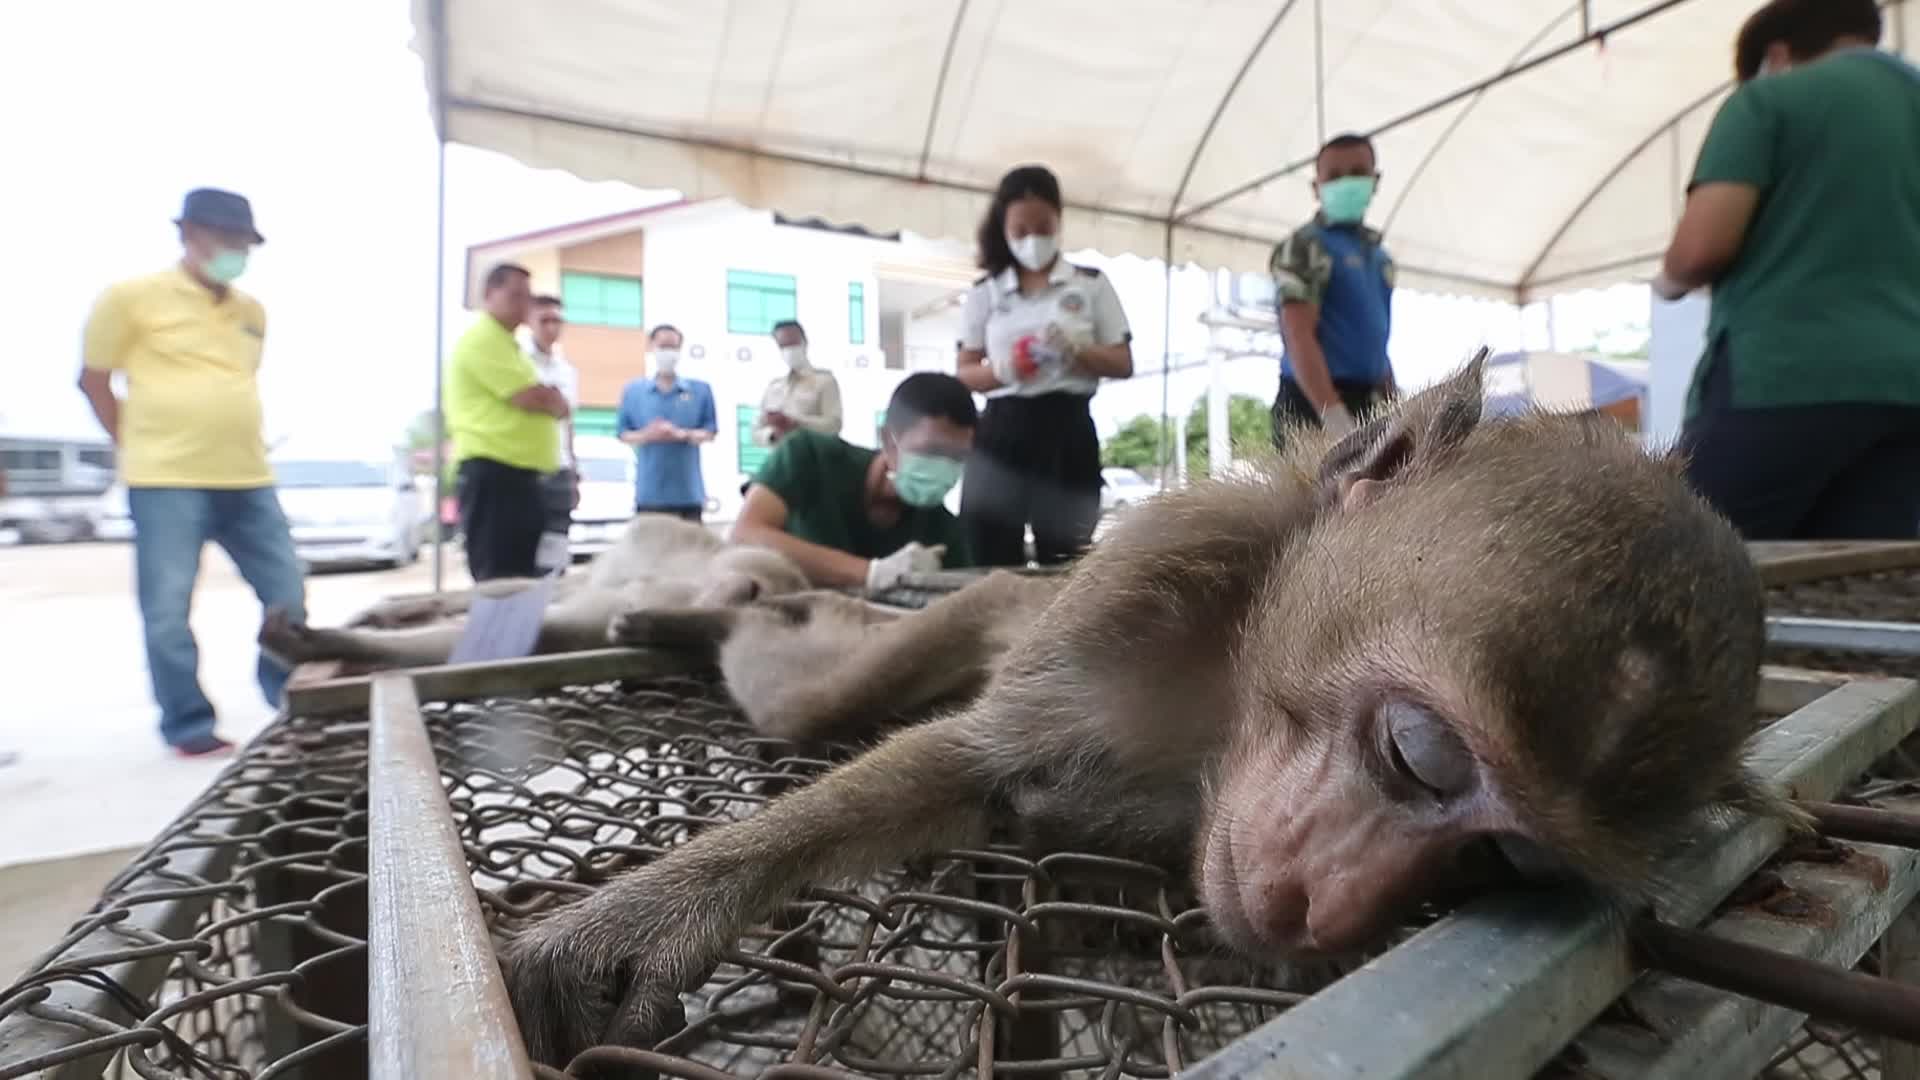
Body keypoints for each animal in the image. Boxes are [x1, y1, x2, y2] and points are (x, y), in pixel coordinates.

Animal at [495, 353, 1796, 1067]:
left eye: (1509, 858)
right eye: (1419, 755)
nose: (1328, 906)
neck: (1231, 688)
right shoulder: (1141, 586)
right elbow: (974, 766)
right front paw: (645, 919)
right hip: (998, 608)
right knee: (813, 700)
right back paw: (689, 623)